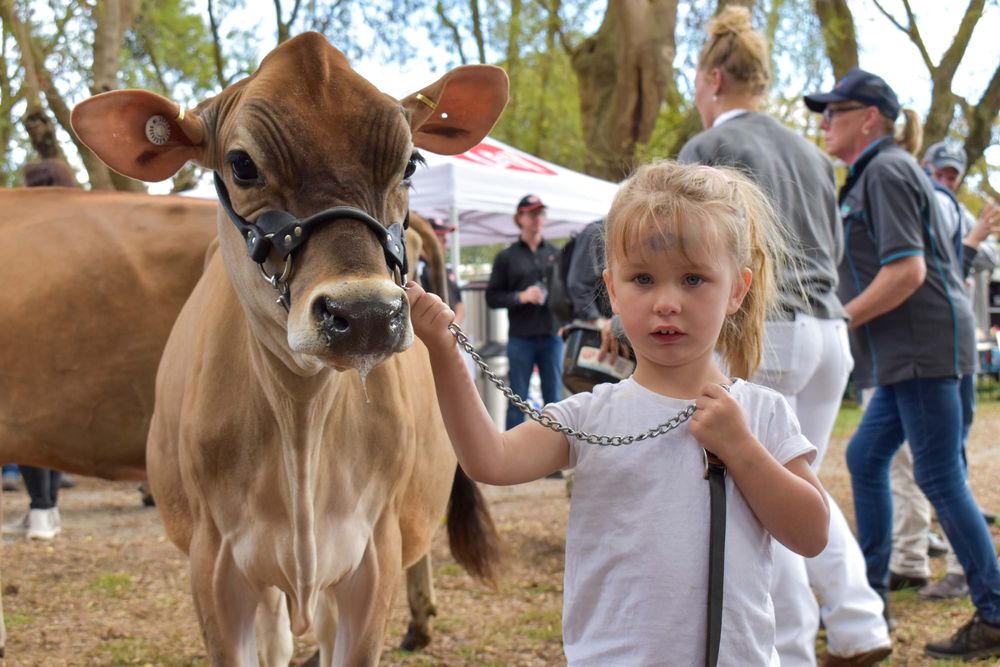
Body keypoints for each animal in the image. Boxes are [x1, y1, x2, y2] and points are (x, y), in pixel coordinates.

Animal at [70, 31, 507, 666]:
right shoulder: (215, 566)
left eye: (410, 162)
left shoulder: (371, 558)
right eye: (242, 164)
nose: (366, 314)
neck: (302, 417)